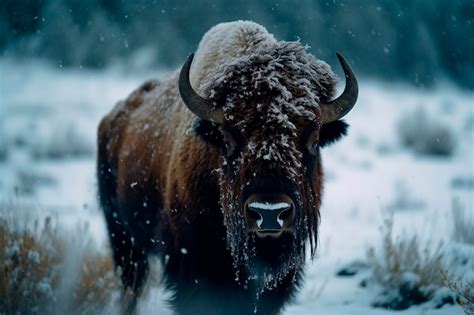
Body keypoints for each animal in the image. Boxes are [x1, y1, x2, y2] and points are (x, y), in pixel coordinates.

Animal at [97, 21, 356, 314]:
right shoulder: (193, 268)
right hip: (124, 239)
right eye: (229, 139)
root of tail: (114, 117)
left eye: (313, 140)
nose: (269, 213)